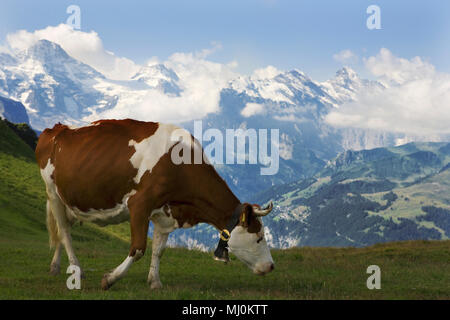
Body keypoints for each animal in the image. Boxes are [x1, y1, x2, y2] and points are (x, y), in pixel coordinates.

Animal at [35, 119, 274, 288]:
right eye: (259, 237)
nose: (271, 266)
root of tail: (56, 129)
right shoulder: (139, 204)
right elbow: (138, 248)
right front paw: (110, 278)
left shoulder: (164, 213)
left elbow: (158, 250)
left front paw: (155, 282)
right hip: (53, 192)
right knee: (64, 232)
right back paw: (76, 268)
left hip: (70, 202)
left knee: (61, 230)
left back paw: (55, 267)